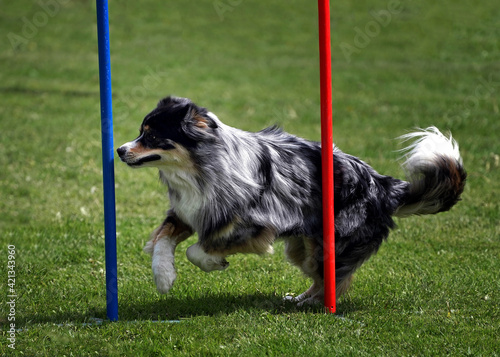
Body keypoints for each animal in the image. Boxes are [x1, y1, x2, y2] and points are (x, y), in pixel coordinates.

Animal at [116, 96, 464, 304]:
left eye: (152, 136)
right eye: (140, 132)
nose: (119, 150)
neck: (199, 168)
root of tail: (383, 184)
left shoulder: (255, 225)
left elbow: (197, 249)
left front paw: (213, 261)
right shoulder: (190, 211)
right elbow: (162, 239)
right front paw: (164, 277)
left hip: (328, 245)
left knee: (335, 280)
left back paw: (313, 305)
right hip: (302, 247)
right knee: (323, 280)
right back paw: (299, 300)